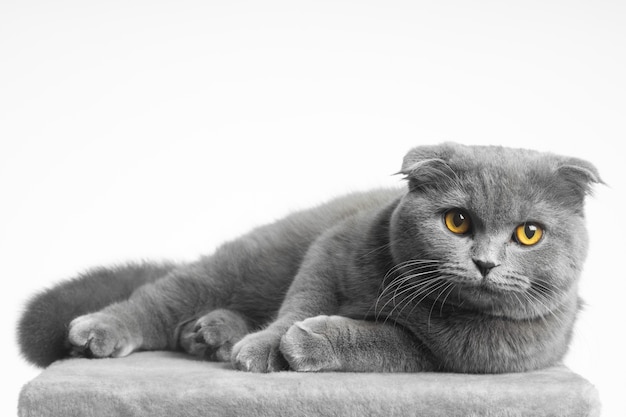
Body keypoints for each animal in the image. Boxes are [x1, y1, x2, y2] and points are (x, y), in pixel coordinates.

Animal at [17, 144, 596, 374]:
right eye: (457, 222)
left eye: (528, 234)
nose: (485, 262)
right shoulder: (333, 248)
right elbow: (303, 298)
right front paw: (271, 345)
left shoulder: (463, 358)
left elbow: (386, 342)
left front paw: (305, 343)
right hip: (250, 261)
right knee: (159, 300)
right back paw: (104, 331)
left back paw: (210, 333)